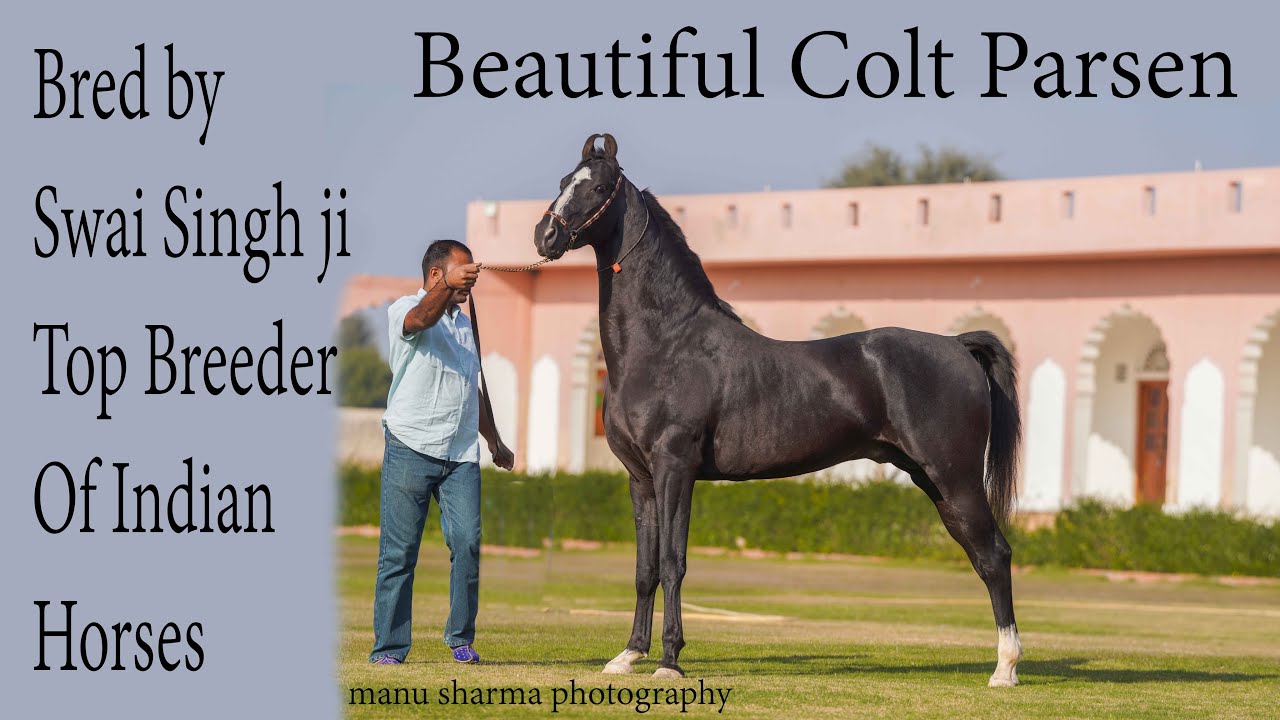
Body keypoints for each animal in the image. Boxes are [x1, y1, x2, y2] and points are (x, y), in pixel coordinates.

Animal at [532, 133, 1024, 687]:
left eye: (596, 187)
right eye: (562, 182)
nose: (545, 235)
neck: (665, 343)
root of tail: (956, 344)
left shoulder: (675, 469)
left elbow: (674, 563)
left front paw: (669, 662)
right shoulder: (640, 478)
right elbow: (645, 568)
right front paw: (627, 655)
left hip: (956, 478)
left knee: (995, 555)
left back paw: (1005, 669)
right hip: (935, 482)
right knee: (983, 556)